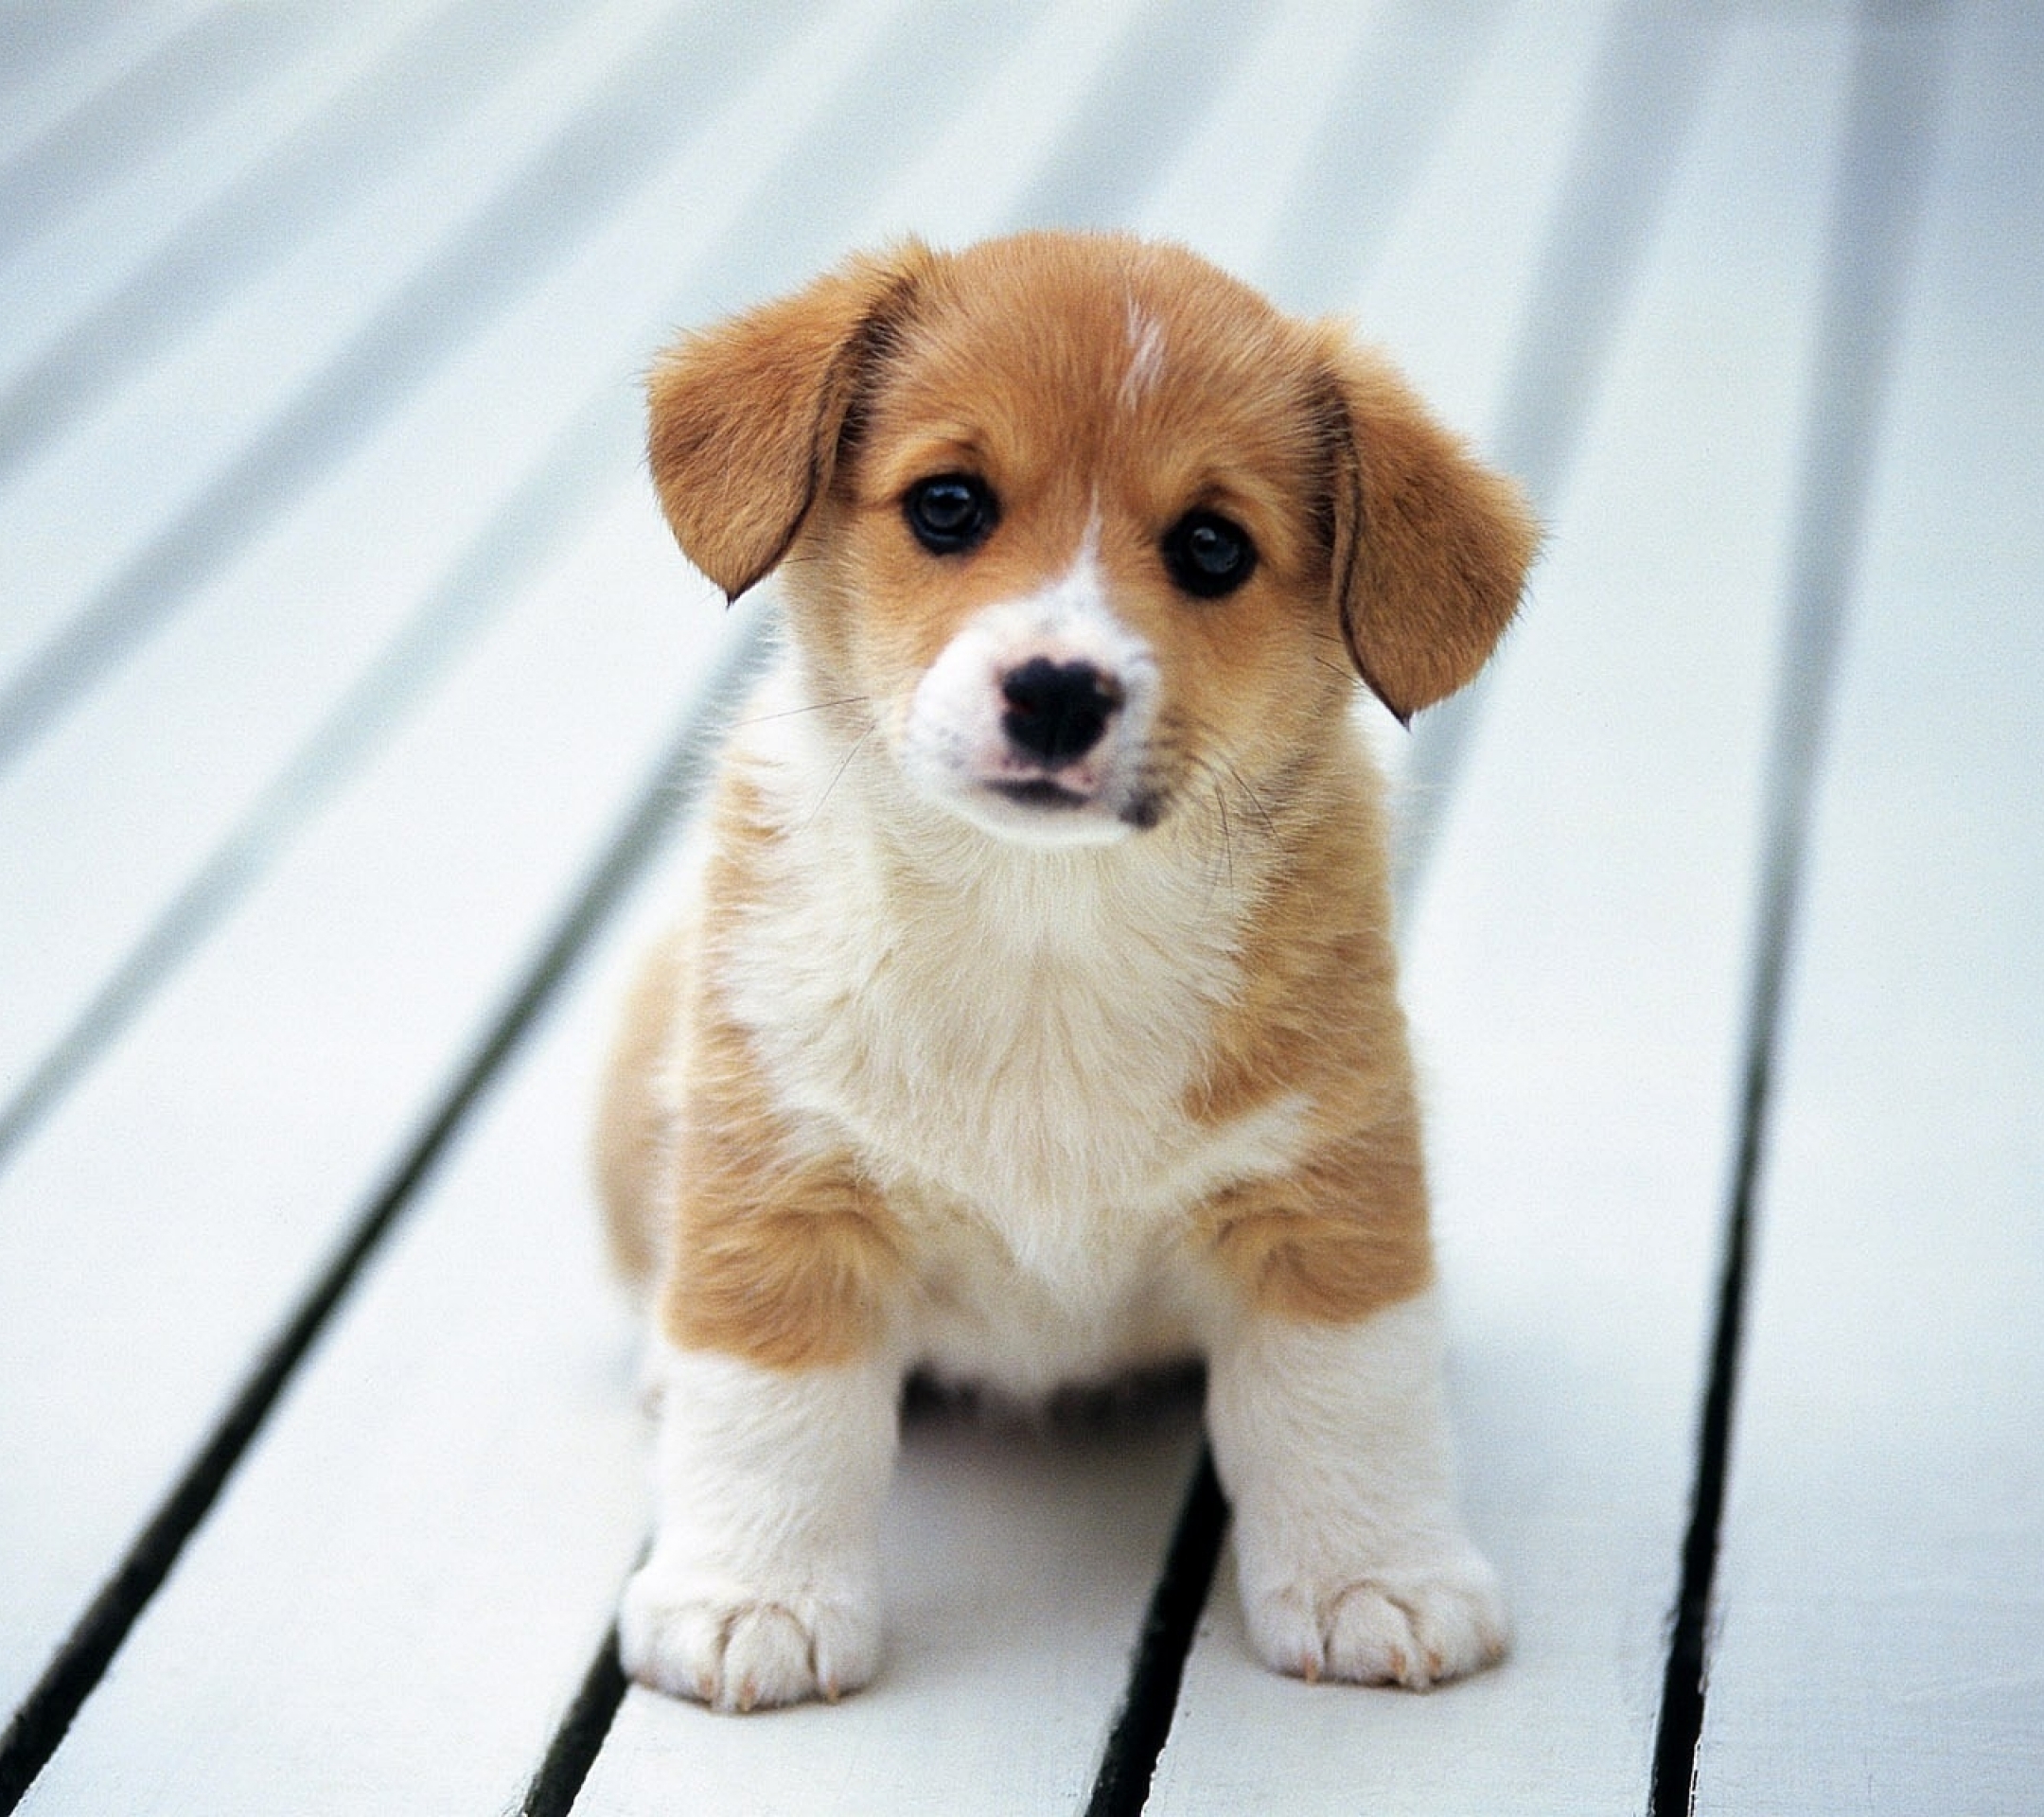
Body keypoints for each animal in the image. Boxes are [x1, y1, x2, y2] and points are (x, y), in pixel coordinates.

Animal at [596, 229, 1537, 1717]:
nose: (1055, 690)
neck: (1046, 919)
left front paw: (1375, 1578)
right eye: (948, 505)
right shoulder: (785, 1176)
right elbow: (768, 1411)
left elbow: (1346, 1403)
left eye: (1212, 546)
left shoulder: (1326, 1189)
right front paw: (751, 1598)